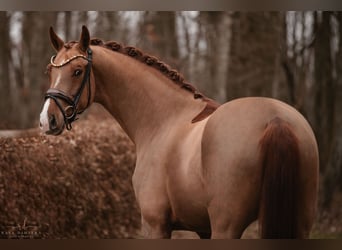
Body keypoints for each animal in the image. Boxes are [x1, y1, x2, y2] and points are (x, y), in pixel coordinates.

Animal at [38, 25, 320, 238]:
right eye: (50, 71)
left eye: (77, 71)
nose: (47, 120)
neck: (163, 119)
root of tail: (275, 118)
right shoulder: (203, 229)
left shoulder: (155, 224)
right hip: (301, 222)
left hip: (226, 226)